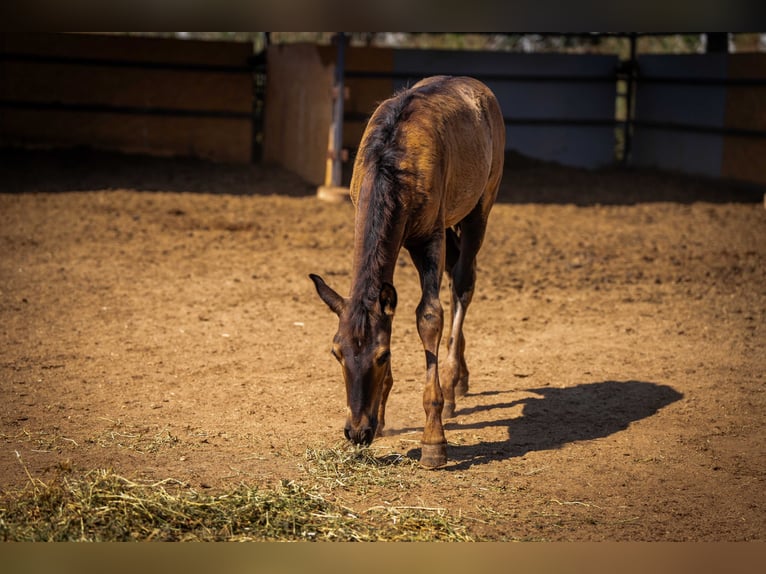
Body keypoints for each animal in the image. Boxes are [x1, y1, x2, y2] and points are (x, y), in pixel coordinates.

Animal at [310, 75, 505, 468]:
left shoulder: (429, 239)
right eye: (336, 352)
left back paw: (452, 383)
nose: (357, 431)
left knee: (464, 283)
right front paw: (381, 418)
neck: (395, 162)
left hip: (479, 210)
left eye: (382, 356)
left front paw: (434, 440)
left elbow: (429, 317)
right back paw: (462, 378)